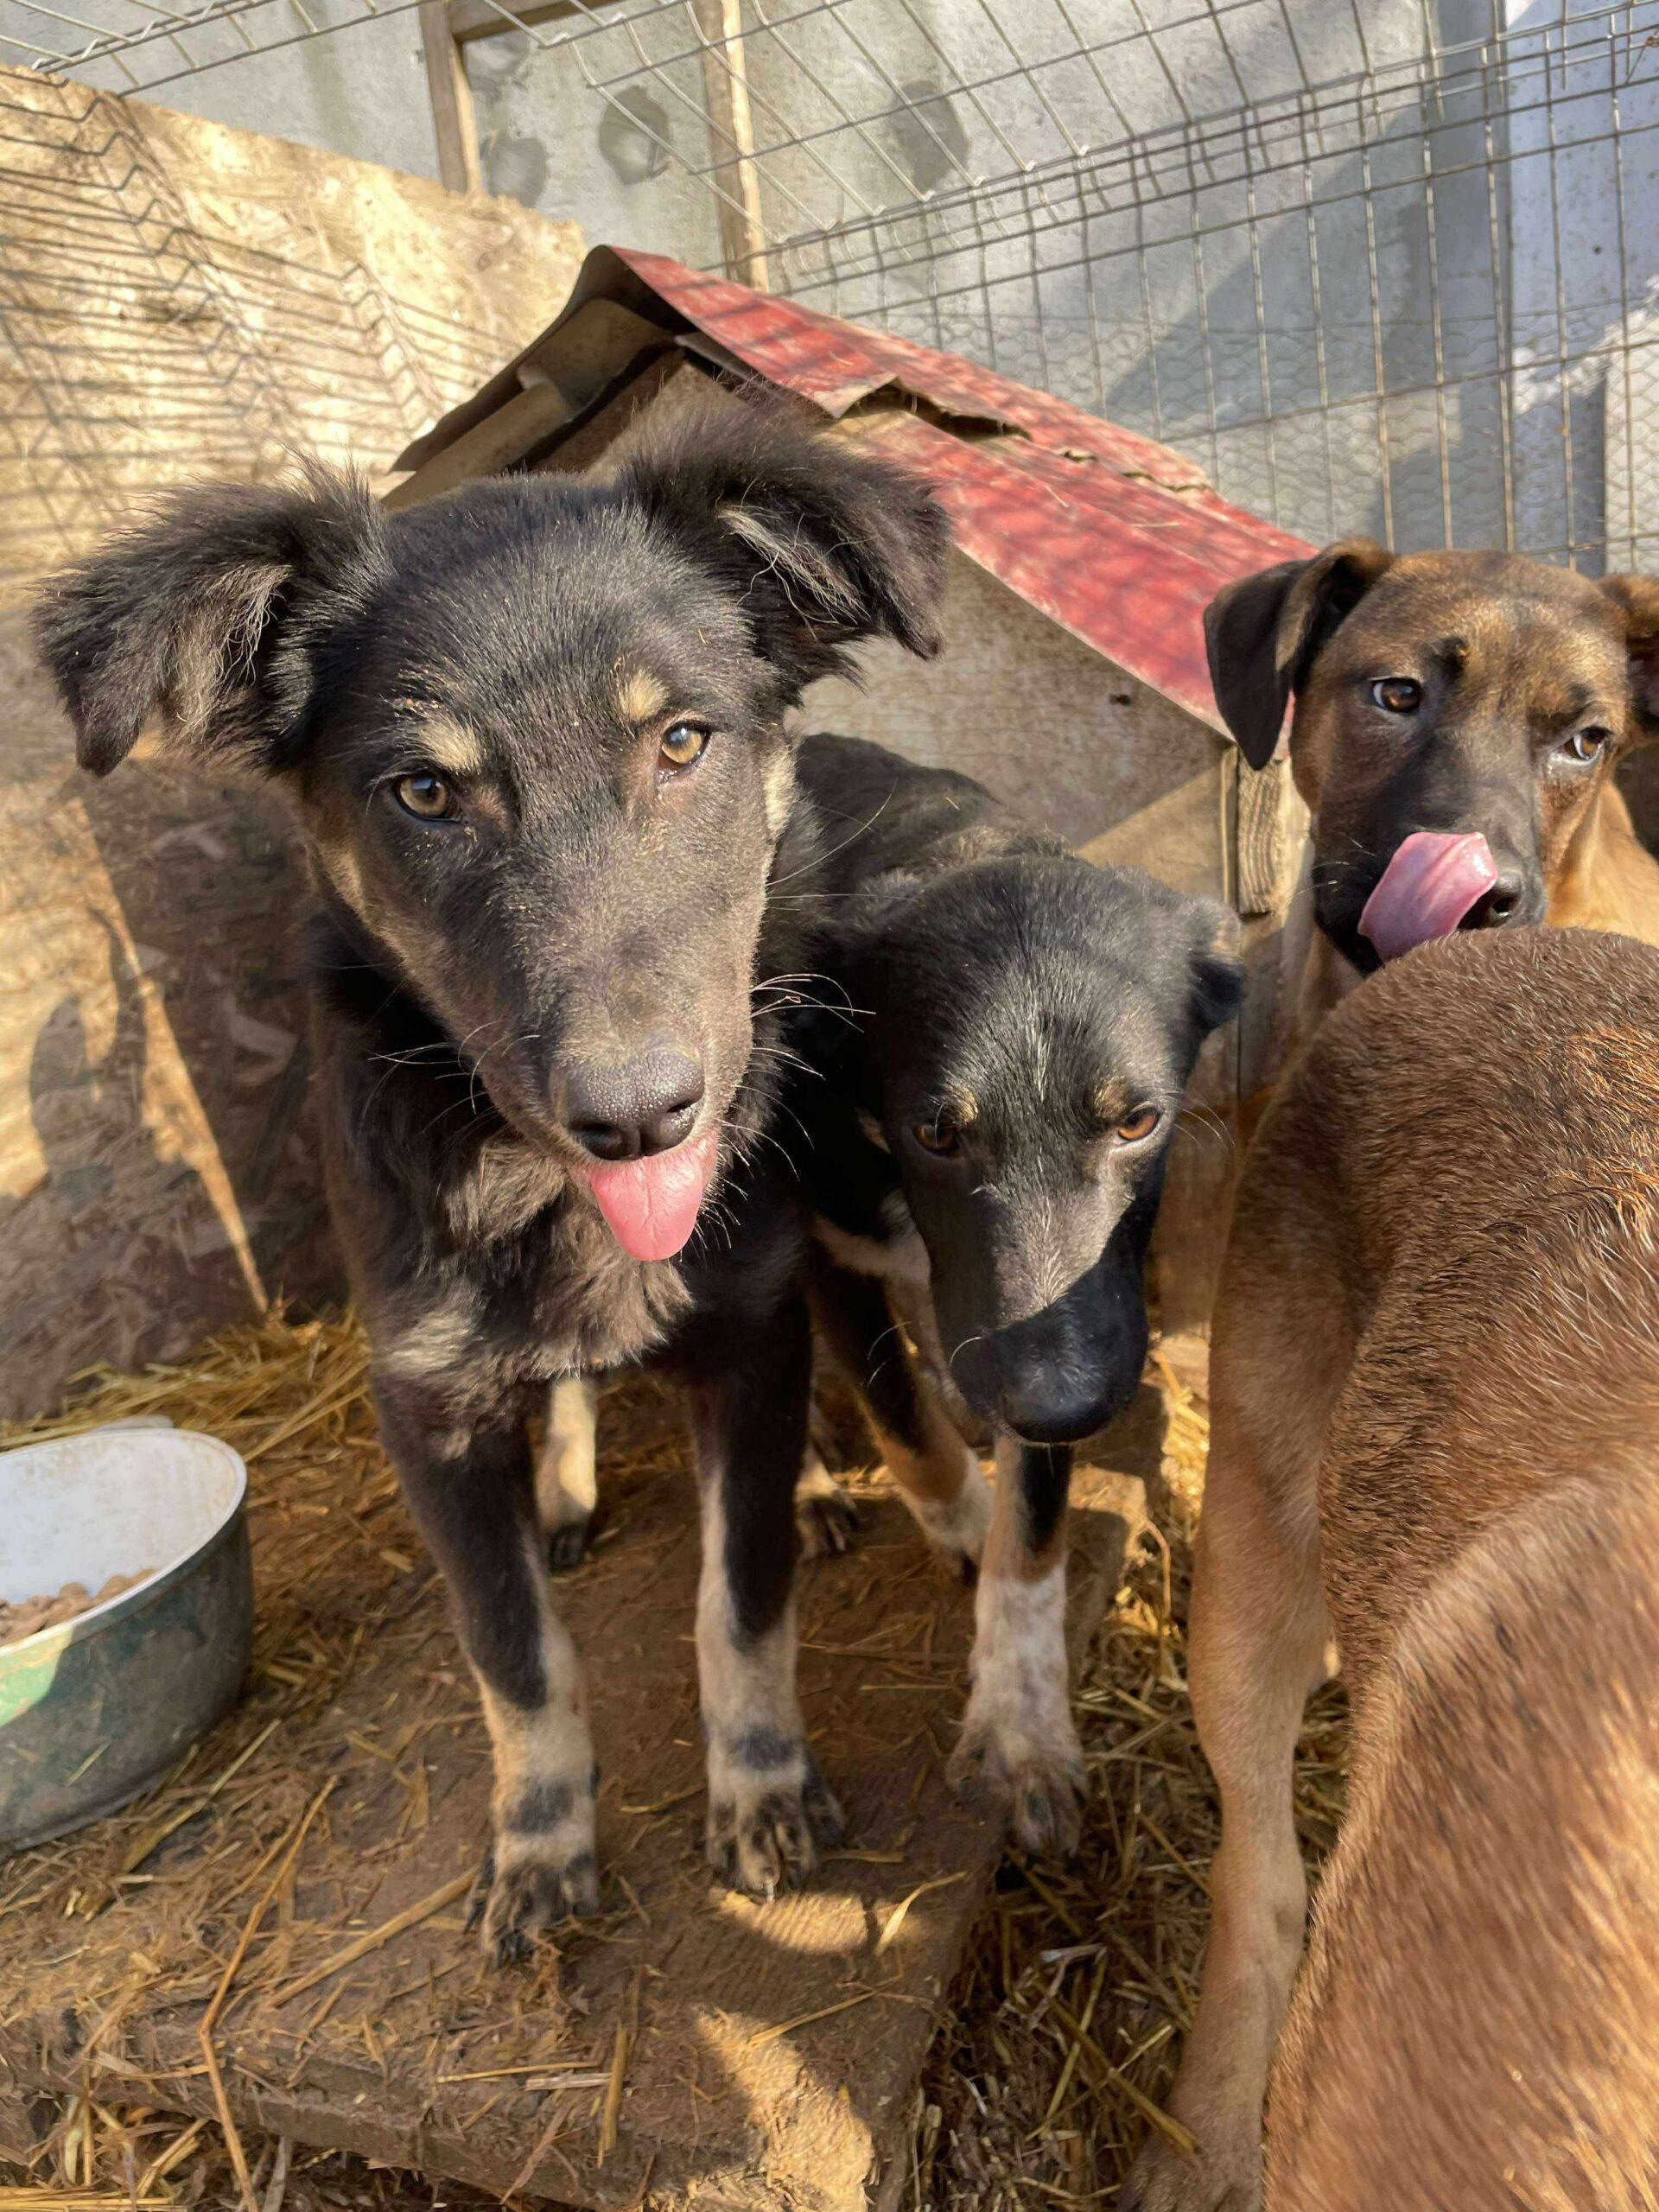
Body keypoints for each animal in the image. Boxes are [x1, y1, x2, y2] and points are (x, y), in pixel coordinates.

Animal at [34, 405, 948, 1960]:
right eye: (424, 793)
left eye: (683, 742)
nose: (637, 1118)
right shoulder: (429, 1407)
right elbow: (515, 1660)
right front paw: (539, 1843)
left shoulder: (747, 1327)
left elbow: (740, 1597)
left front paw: (762, 1783)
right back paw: (569, 1491)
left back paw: (819, 1480)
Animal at [782, 733, 1243, 1854]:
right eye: (934, 1133)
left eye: (1138, 1121)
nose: (1063, 1406)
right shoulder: (824, 1246)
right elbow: (906, 1427)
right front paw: (960, 1516)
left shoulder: (1068, 1322)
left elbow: (1033, 1533)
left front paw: (1024, 1725)